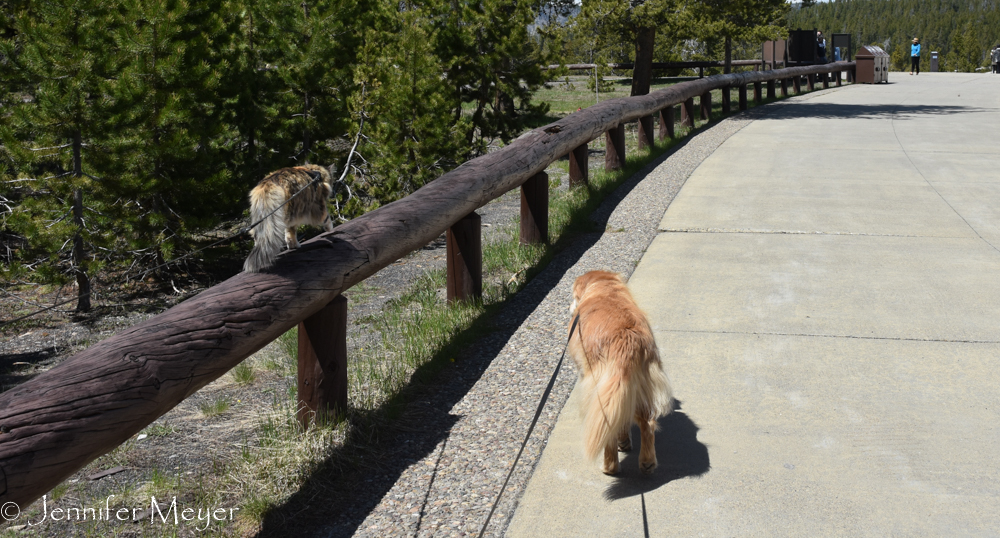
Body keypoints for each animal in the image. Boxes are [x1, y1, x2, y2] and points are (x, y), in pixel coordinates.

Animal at [568, 270, 676, 472]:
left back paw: (610, 467)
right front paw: (624, 441)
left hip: (601, 393)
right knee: (647, 424)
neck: (605, 289)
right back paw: (647, 462)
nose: (570, 307)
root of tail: (626, 342)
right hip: (637, 388)